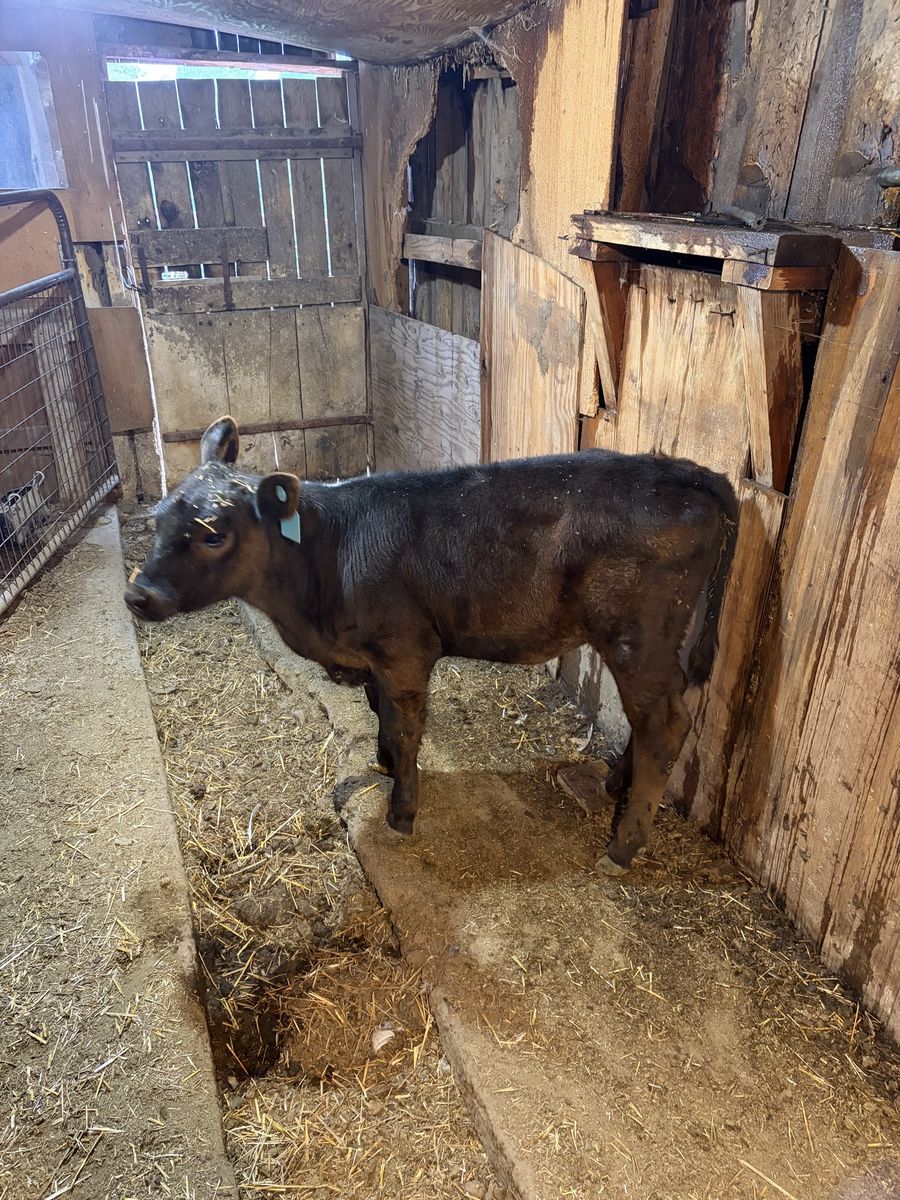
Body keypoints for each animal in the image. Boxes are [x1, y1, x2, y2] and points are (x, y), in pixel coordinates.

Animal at [125, 416, 739, 875]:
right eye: (157, 518)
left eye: (213, 534)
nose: (137, 594)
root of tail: (691, 471)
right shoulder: (373, 660)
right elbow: (380, 716)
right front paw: (385, 766)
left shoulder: (404, 652)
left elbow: (405, 726)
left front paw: (402, 811)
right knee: (654, 718)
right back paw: (614, 784)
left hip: (640, 637)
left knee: (665, 725)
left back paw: (622, 847)